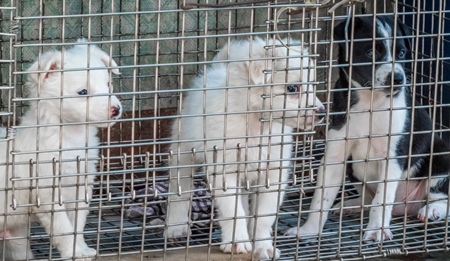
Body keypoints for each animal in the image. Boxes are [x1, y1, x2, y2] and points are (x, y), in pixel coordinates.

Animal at [165, 37, 324, 258]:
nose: (322, 113)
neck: (258, 124)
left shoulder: (272, 173)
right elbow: (233, 210)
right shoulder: (224, 171)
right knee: (180, 190)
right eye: (292, 88)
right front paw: (236, 242)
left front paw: (263, 246)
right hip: (184, 152)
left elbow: (263, 216)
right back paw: (175, 227)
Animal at [286, 16, 450, 241]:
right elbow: (320, 199)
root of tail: (406, 208)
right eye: (371, 53)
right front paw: (308, 230)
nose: (398, 78)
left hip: (441, 153)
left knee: (440, 196)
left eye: (401, 53)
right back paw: (351, 205)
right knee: (367, 197)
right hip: (352, 170)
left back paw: (432, 210)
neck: (370, 102)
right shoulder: (335, 156)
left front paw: (377, 231)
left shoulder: (392, 158)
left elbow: (381, 201)